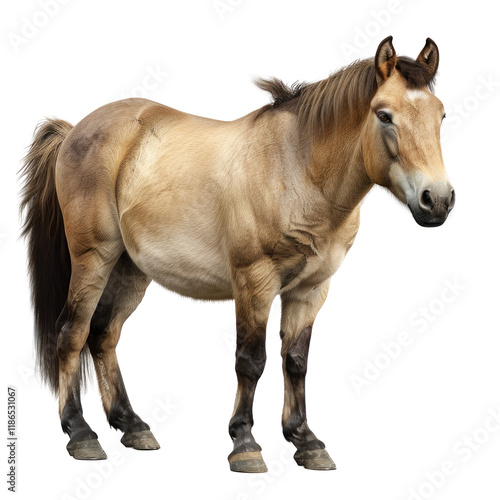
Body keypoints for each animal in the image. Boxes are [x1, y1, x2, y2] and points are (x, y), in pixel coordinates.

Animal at [20, 36, 454, 472]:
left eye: (442, 115)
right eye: (384, 116)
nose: (437, 200)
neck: (296, 168)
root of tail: (75, 130)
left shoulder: (311, 289)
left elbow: (296, 361)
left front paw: (306, 441)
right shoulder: (254, 282)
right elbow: (251, 360)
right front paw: (244, 443)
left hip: (131, 268)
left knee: (104, 333)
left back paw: (132, 426)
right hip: (93, 257)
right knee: (71, 333)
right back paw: (80, 433)